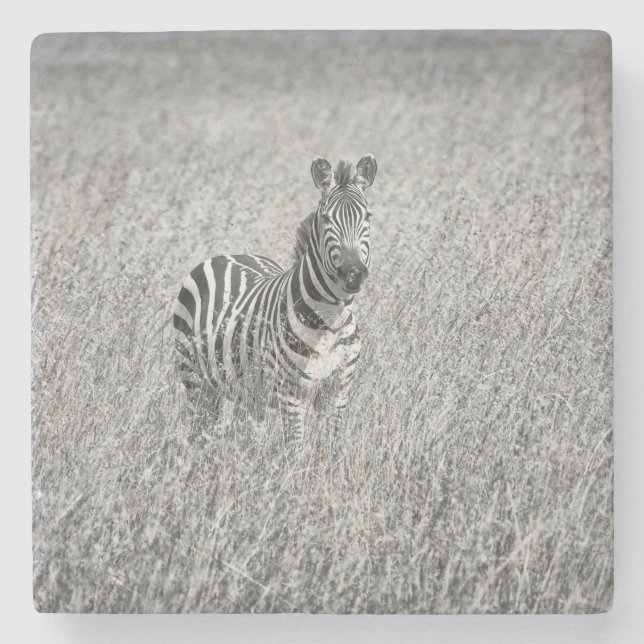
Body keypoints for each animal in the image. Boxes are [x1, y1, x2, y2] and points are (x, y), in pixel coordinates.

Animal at [173, 154, 377, 441]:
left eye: (367, 216)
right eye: (326, 218)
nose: (353, 273)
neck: (330, 321)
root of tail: (226, 255)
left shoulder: (338, 391)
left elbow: (330, 446)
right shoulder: (289, 393)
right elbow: (295, 447)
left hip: (245, 391)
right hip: (194, 380)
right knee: (197, 432)